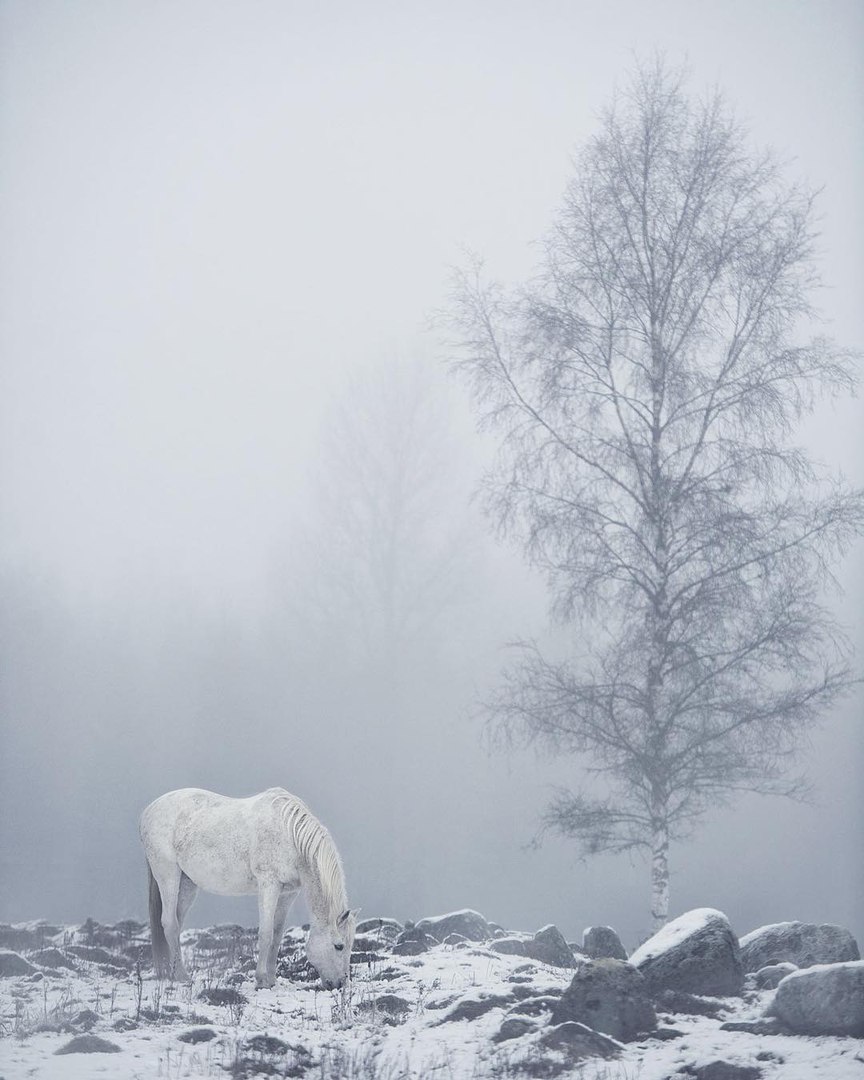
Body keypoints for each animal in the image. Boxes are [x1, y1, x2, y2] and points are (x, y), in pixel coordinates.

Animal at [140, 786, 356, 989]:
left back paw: (173, 972)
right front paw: (261, 980)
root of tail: (148, 812)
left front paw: (271, 979)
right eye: (339, 946)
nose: (340, 984)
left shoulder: (288, 893)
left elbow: (277, 935)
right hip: (168, 875)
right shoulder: (268, 885)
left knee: (176, 923)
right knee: (169, 923)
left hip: (186, 884)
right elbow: (266, 934)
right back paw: (182, 976)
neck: (290, 835)